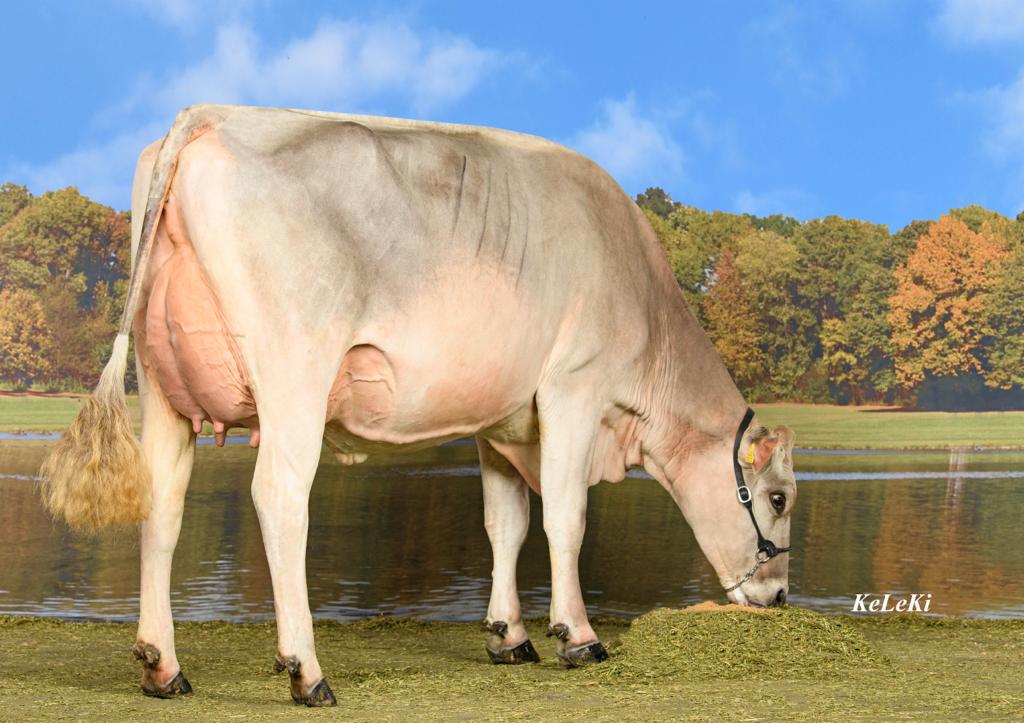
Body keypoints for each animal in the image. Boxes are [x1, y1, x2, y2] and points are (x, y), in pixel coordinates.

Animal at [41, 104, 797, 707]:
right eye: (779, 497)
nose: (781, 598)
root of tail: (210, 115)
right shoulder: (572, 390)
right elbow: (566, 519)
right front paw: (577, 636)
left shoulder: (502, 418)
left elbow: (506, 523)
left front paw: (509, 634)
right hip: (294, 372)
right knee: (280, 498)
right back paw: (306, 670)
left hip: (161, 388)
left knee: (161, 504)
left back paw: (162, 666)